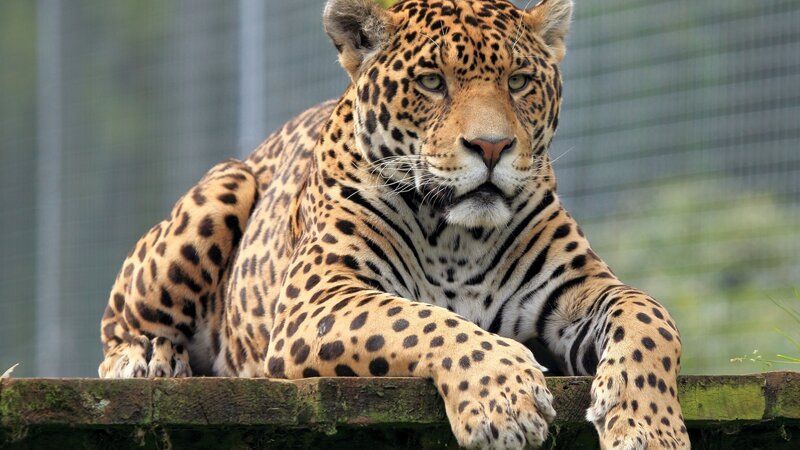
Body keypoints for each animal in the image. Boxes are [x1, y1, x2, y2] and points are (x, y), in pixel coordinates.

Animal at [98, 0, 689, 448]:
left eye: (519, 81)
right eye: (432, 82)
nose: (492, 146)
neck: (458, 237)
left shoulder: (578, 290)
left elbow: (650, 317)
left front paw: (649, 426)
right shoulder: (318, 298)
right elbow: (422, 319)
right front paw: (503, 399)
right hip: (227, 184)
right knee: (118, 326)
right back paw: (146, 356)